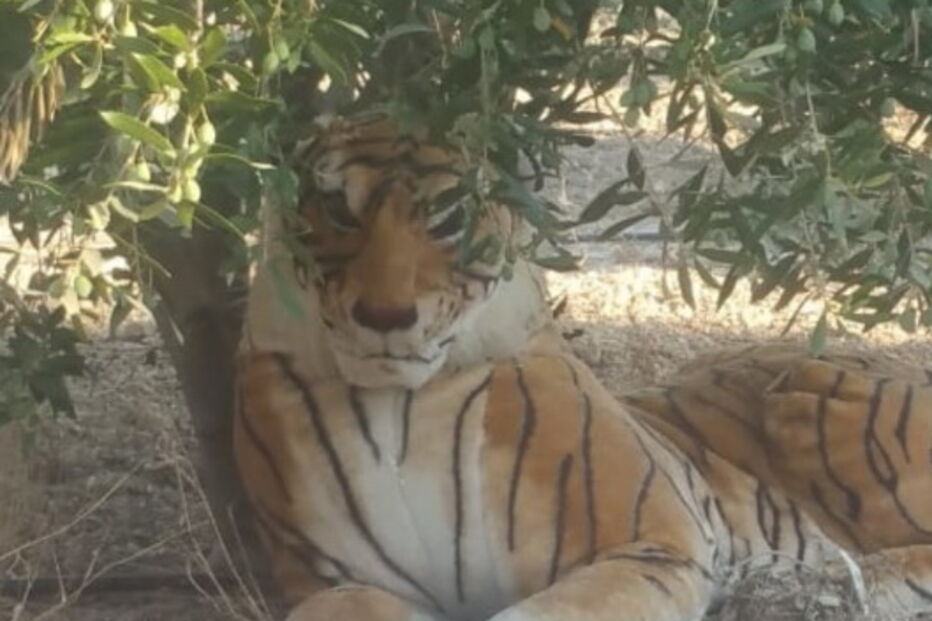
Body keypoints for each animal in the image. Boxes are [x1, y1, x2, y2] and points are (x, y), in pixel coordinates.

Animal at [234, 113, 932, 621]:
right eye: (338, 208)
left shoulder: (646, 543)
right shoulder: (335, 582)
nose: (384, 314)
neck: (403, 404)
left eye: (450, 216)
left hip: (808, 394)